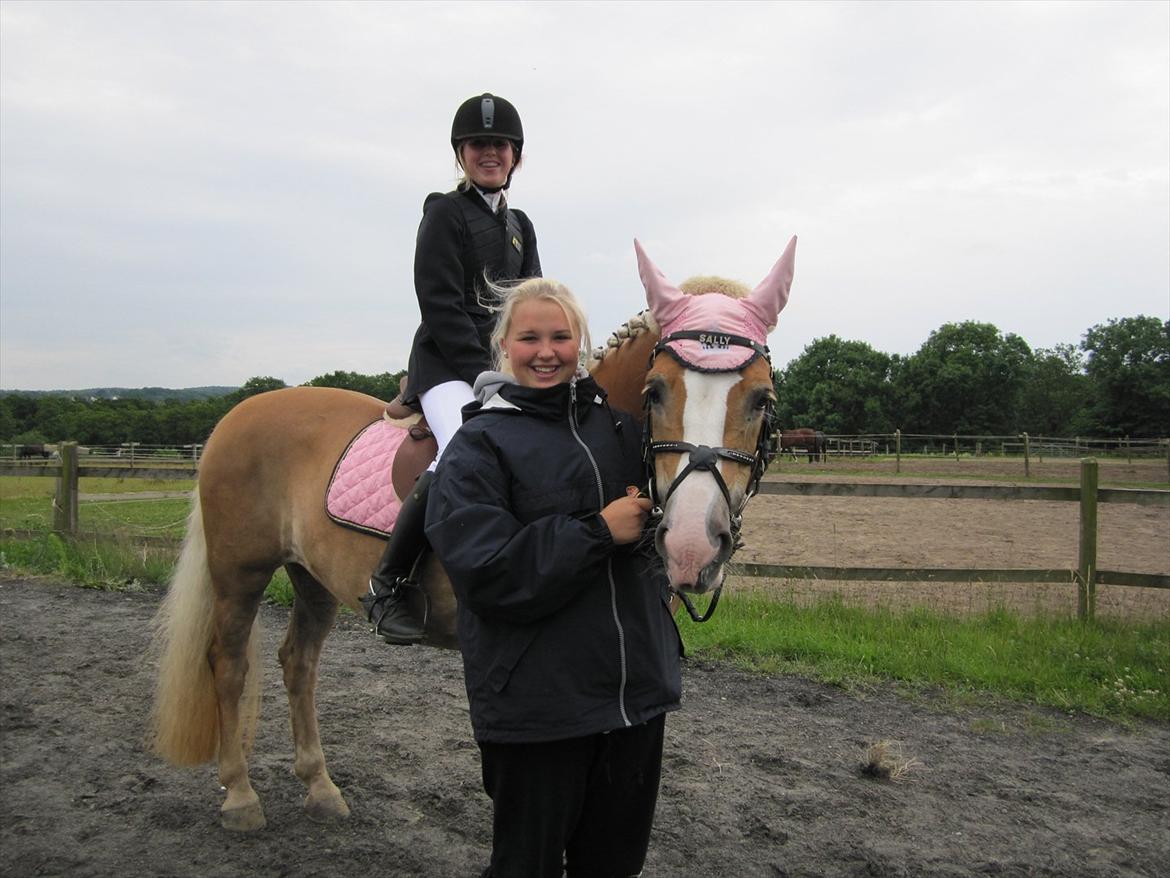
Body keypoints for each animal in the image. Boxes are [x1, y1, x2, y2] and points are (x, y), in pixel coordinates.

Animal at [148, 235, 795, 833]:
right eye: (655, 390)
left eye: (762, 399)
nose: (691, 546)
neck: (567, 419)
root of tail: (238, 413)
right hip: (240, 571)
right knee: (229, 663)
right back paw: (240, 797)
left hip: (309, 575)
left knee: (297, 661)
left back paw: (320, 788)